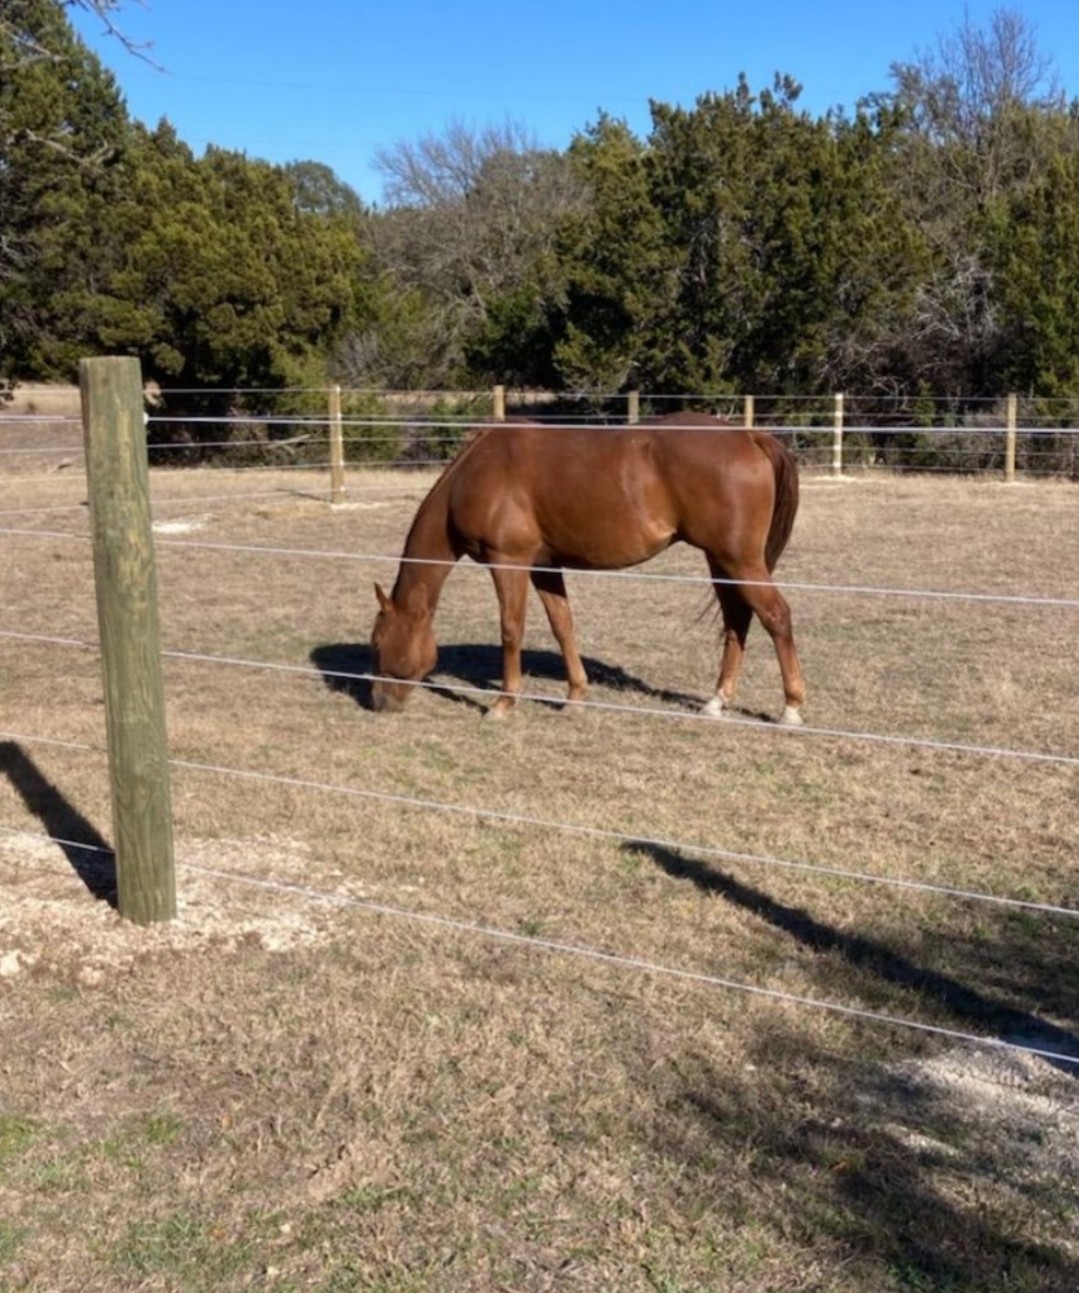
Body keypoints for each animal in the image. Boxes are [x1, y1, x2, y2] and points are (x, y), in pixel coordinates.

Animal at [370, 411, 806, 723]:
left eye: (377, 643)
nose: (378, 702)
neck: (474, 473)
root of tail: (750, 437)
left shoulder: (508, 562)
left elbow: (511, 630)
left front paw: (503, 704)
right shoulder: (544, 567)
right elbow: (563, 626)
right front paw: (575, 696)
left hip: (739, 561)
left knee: (777, 616)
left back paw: (791, 707)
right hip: (721, 561)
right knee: (737, 620)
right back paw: (717, 701)